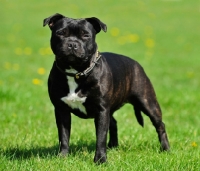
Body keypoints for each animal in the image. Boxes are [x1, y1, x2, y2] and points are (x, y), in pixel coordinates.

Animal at [43, 13, 170, 163]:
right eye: (61, 33)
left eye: (85, 35)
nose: (72, 44)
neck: (76, 72)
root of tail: (136, 64)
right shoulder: (61, 110)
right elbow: (63, 136)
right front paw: (62, 157)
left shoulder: (101, 110)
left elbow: (101, 137)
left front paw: (100, 160)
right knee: (113, 123)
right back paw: (113, 146)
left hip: (147, 102)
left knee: (160, 125)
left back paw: (166, 149)